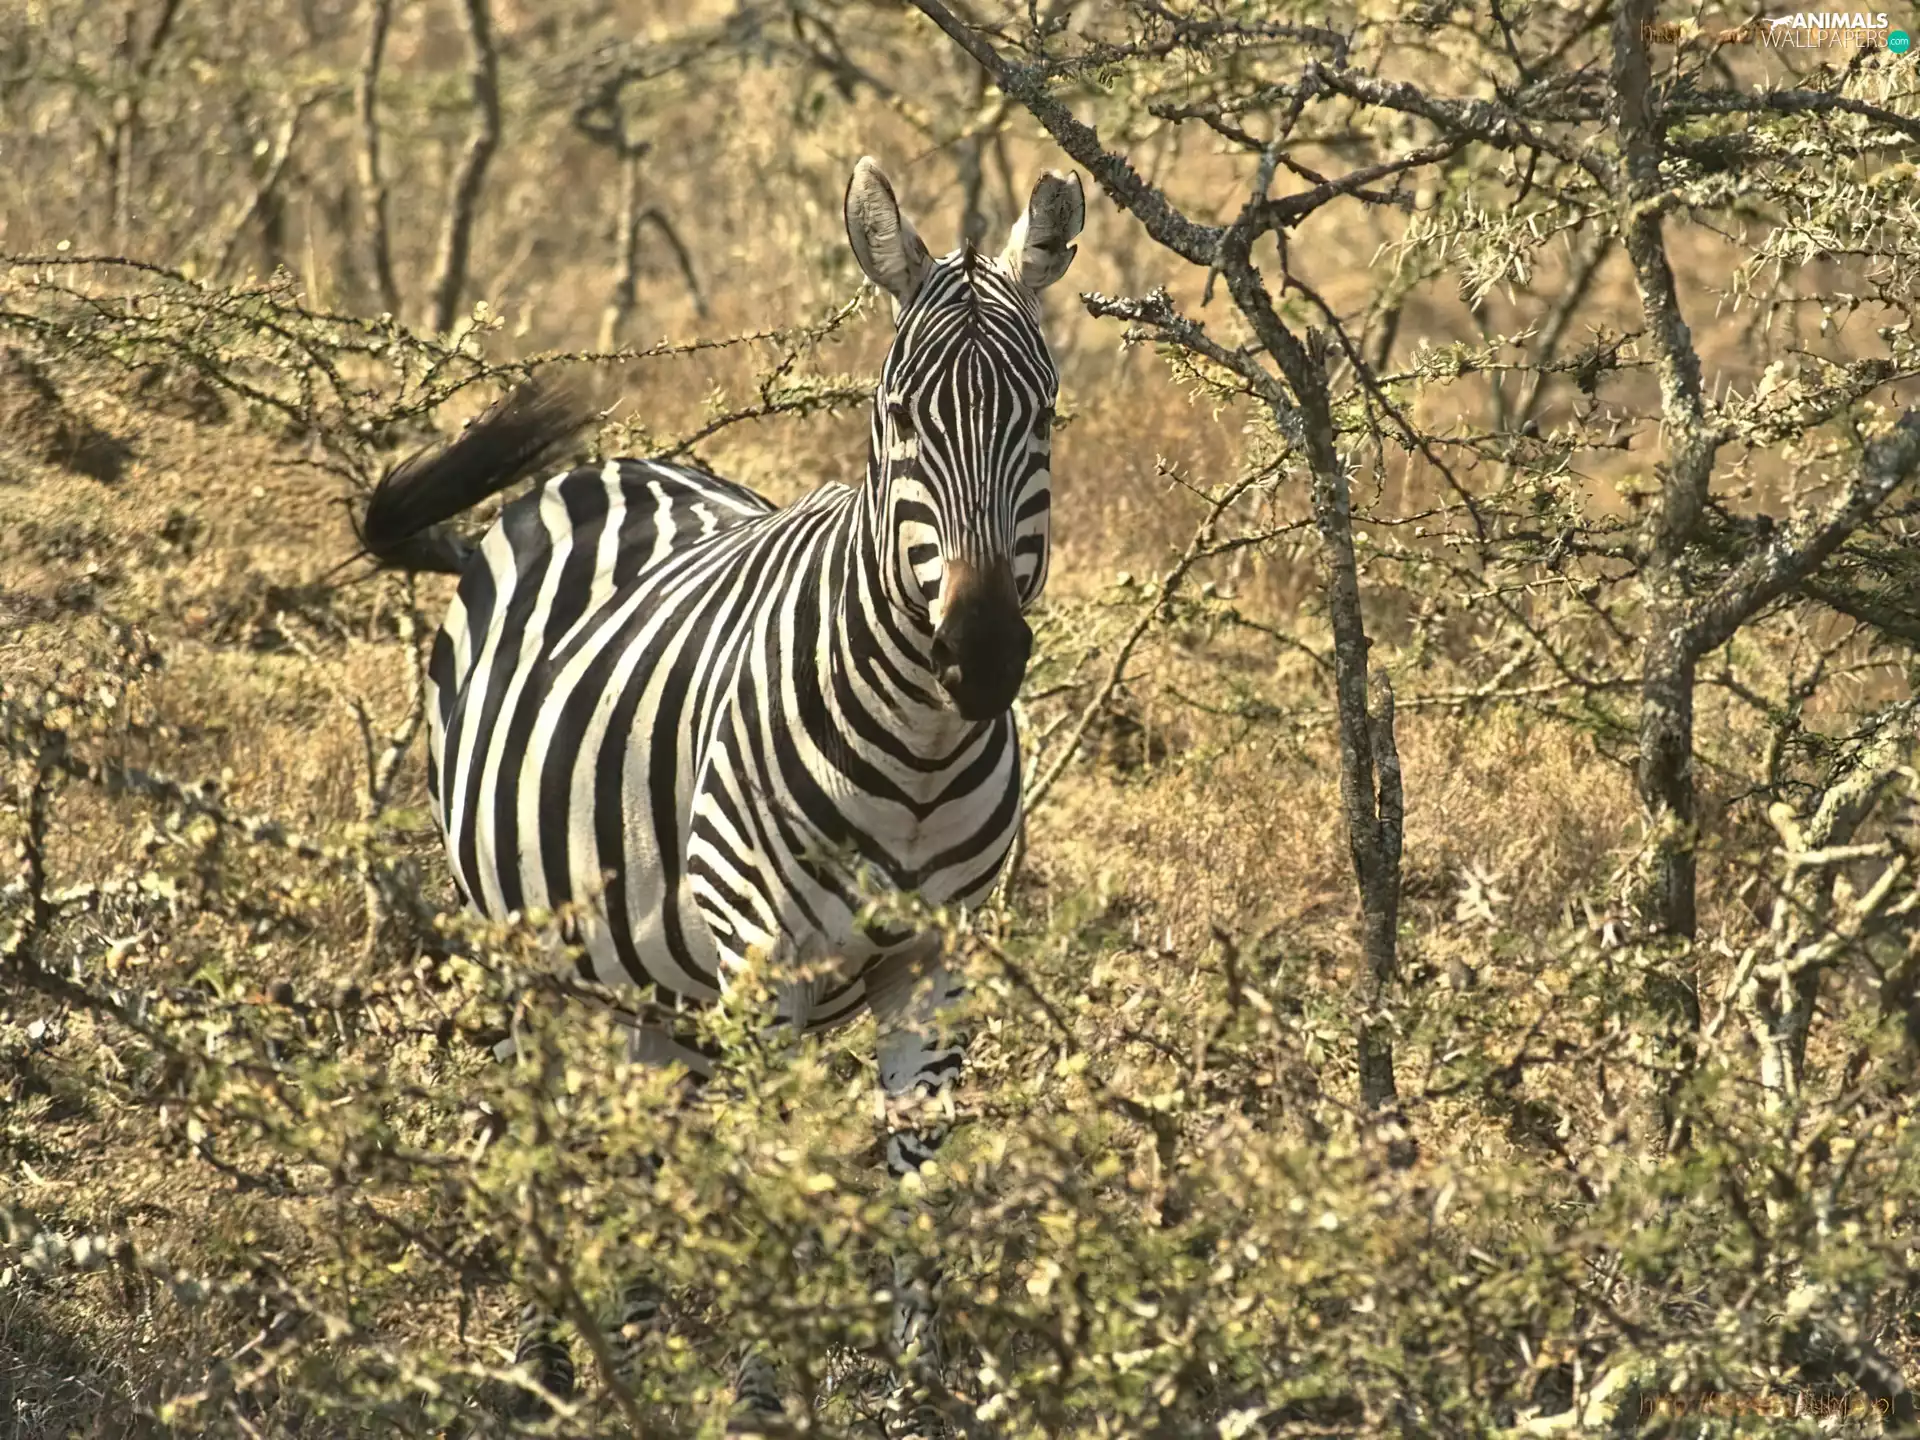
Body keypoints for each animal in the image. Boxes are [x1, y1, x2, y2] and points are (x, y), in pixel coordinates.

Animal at [360, 155, 1084, 1428]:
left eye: (1041, 418)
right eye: (899, 419)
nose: (983, 655)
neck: (921, 753)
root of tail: (607, 470)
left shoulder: (934, 965)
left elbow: (917, 1178)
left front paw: (912, 1399)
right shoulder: (763, 960)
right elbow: (772, 1171)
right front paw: (762, 1392)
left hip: (657, 981)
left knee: (647, 1141)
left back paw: (637, 1345)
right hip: (531, 948)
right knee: (545, 1120)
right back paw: (546, 1368)